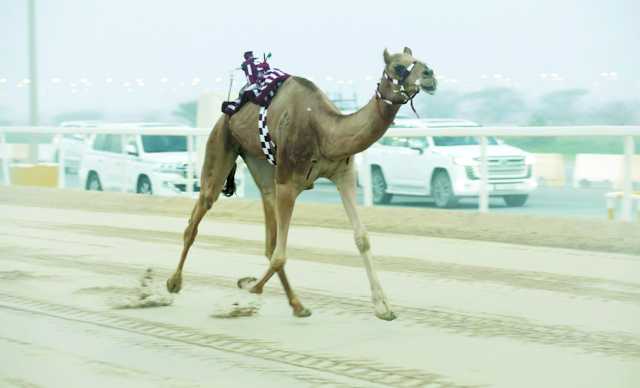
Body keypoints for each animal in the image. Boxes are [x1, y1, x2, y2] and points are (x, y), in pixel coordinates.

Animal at [165, 47, 438, 322]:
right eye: (397, 67)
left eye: (418, 60)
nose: (430, 74)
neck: (326, 132)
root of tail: (228, 113)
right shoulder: (289, 182)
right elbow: (280, 256)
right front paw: (246, 290)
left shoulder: (344, 175)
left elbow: (361, 238)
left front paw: (383, 307)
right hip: (221, 143)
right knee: (197, 218)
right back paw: (173, 283)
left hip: (261, 166)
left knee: (268, 234)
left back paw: (297, 305)